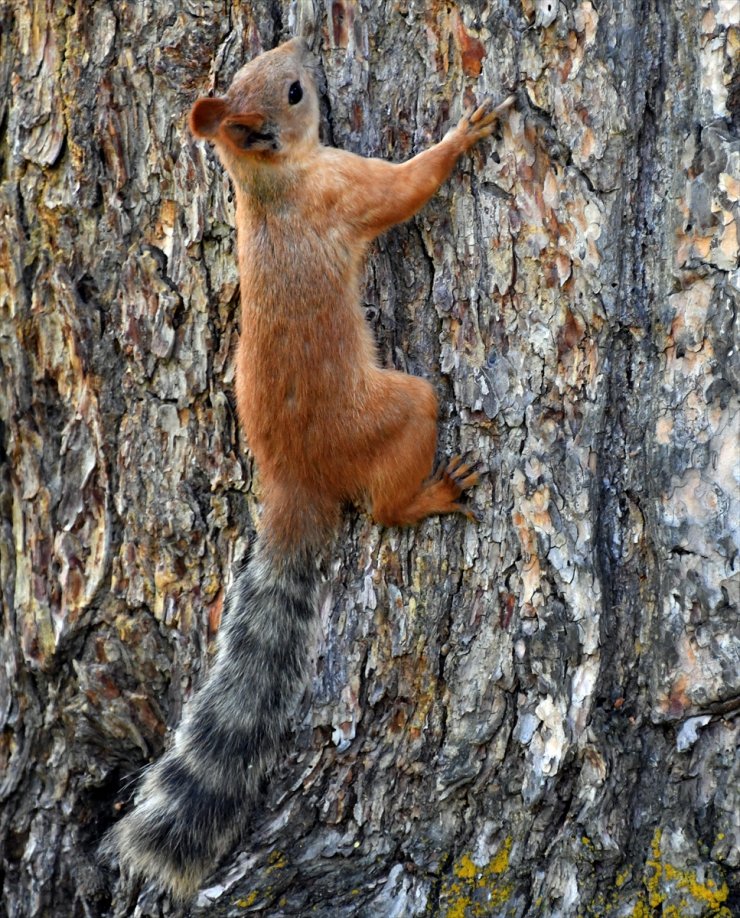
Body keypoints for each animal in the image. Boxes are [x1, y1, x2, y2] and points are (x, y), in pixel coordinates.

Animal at [101, 37, 512, 904]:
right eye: (293, 92)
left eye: (265, 68)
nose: (303, 46)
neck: (267, 187)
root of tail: (290, 479)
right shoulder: (346, 190)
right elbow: (409, 186)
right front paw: (465, 134)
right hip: (398, 410)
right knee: (386, 501)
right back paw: (435, 492)